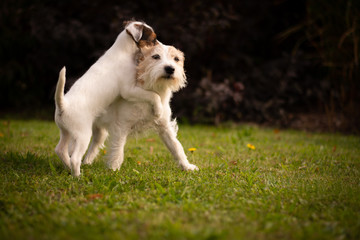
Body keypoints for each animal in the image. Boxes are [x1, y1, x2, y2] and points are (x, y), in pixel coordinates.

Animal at [54, 20, 162, 176]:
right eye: (153, 39)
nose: (161, 46)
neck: (122, 50)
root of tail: (63, 105)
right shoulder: (129, 90)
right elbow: (153, 95)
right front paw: (158, 110)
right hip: (82, 134)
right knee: (75, 158)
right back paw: (77, 176)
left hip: (65, 131)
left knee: (60, 150)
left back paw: (68, 167)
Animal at [83, 42, 198, 171]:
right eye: (156, 56)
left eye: (176, 59)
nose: (170, 68)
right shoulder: (121, 127)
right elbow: (118, 150)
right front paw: (114, 169)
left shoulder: (165, 127)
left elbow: (176, 147)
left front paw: (187, 166)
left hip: (99, 132)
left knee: (95, 144)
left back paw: (86, 162)